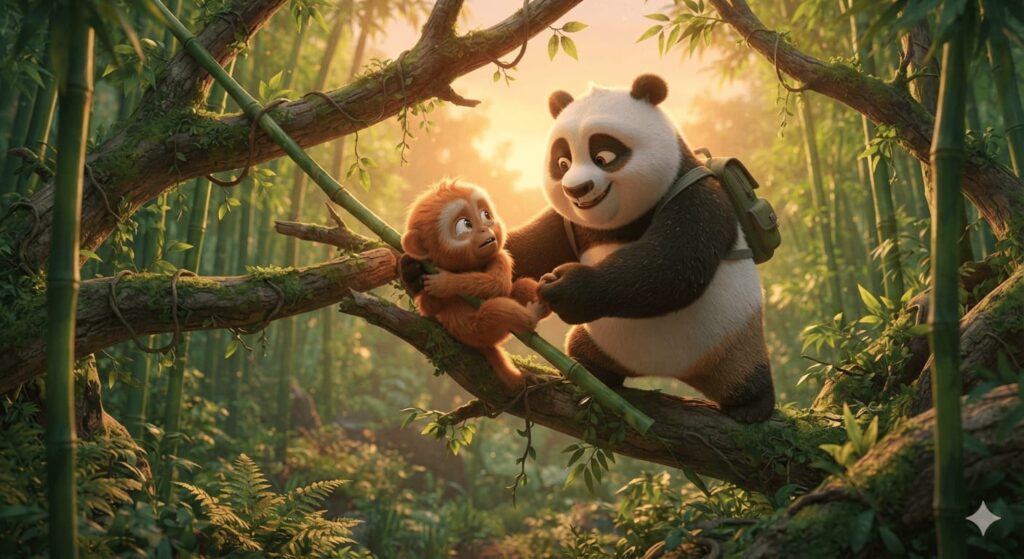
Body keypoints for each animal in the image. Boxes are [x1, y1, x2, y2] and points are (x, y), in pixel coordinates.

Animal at [400, 179, 547, 388]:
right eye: (465, 225)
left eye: (486, 215)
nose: (485, 229)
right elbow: (430, 308)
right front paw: (411, 271)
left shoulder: (500, 255)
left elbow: (497, 283)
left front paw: (445, 282)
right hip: (474, 333)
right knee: (494, 312)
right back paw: (531, 317)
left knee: (520, 289)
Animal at [505, 74, 775, 422]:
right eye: (562, 162)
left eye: (603, 157)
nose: (576, 189)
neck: (617, 222)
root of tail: (673, 372)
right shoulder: (571, 223)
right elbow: (528, 249)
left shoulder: (697, 197)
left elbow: (673, 267)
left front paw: (565, 287)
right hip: (609, 343)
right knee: (583, 348)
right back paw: (592, 369)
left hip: (732, 339)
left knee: (743, 372)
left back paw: (751, 405)